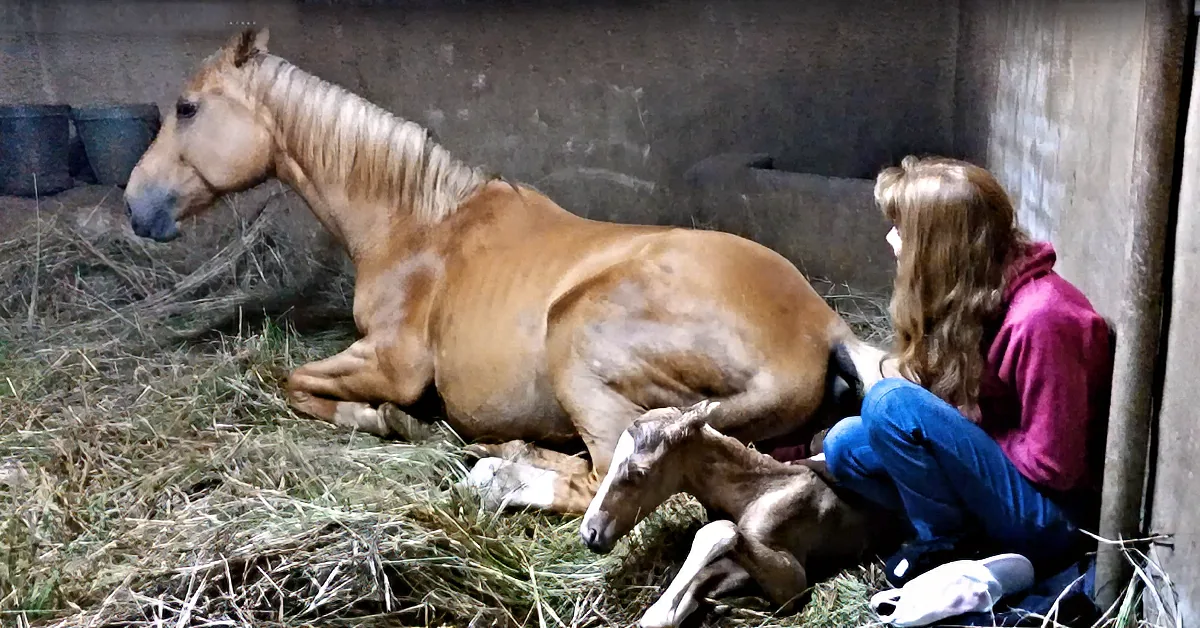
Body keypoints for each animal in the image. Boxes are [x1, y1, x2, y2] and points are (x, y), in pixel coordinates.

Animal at [123, 27, 888, 515]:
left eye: (187, 108)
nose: (136, 205)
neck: (419, 226)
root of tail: (821, 326)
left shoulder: (391, 363)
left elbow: (295, 382)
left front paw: (388, 422)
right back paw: (509, 448)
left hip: (577, 343)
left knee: (597, 479)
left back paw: (496, 474)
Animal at [579, 401, 896, 628]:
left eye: (638, 473)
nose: (589, 533)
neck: (761, 491)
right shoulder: (736, 565)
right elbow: (700, 580)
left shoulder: (793, 583)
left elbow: (718, 531)